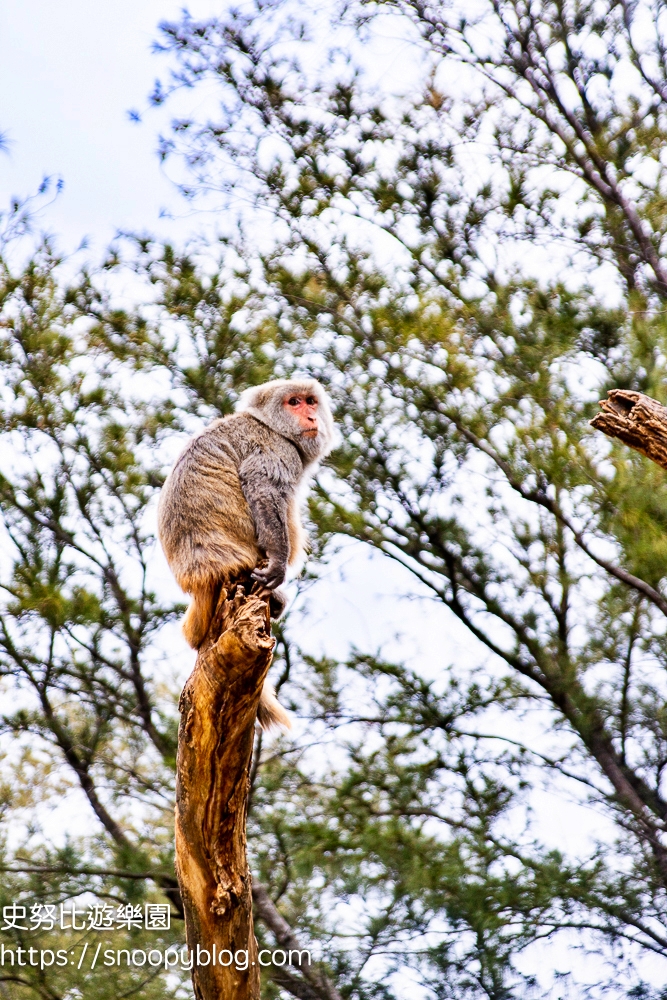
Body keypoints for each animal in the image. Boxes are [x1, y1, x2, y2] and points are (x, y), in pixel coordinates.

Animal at [156, 378, 334, 732]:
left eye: (310, 401)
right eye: (294, 402)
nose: (310, 416)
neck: (270, 425)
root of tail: (200, 576)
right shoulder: (277, 449)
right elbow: (262, 488)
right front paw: (278, 562)